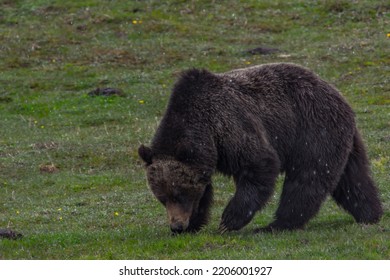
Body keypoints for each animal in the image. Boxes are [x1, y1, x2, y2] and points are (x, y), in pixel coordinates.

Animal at [139, 63, 382, 234]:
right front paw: (194, 224)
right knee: (353, 178)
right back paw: (370, 213)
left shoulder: (231, 128)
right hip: (344, 140)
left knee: (307, 179)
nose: (177, 225)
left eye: (179, 193)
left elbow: (259, 165)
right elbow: (205, 190)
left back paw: (278, 224)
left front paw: (228, 220)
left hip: (313, 130)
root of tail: (337, 93)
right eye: (162, 197)